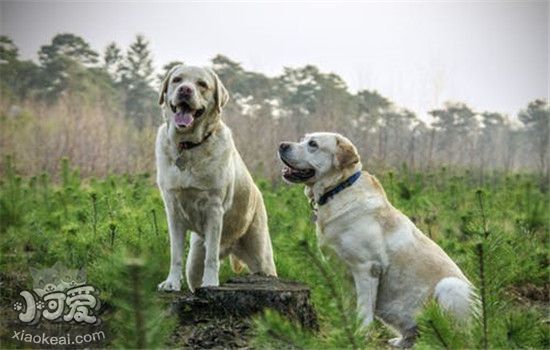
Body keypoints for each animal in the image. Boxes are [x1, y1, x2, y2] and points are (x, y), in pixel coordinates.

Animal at [156, 63, 276, 292]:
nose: (185, 90)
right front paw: (171, 283)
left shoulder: (214, 209)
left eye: (202, 84)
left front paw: (211, 284)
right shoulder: (173, 211)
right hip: (194, 261)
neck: (189, 146)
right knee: (194, 274)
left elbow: (211, 258)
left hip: (262, 258)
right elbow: (175, 255)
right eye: (177, 80)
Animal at [280, 131, 474, 348]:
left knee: (459, 336)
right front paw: (348, 333)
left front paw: (360, 336)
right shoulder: (344, 274)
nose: (282, 145)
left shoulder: (367, 268)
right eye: (303, 139)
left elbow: (364, 310)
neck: (339, 190)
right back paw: (402, 342)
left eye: (313, 144)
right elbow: (350, 307)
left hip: (450, 286)